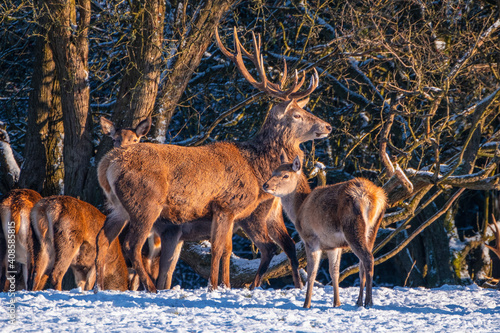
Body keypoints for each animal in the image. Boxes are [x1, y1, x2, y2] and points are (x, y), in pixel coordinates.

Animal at [96, 26, 334, 290]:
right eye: (297, 115)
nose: (328, 126)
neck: (254, 167)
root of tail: (107, 164)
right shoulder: (226, 205)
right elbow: (219, 249)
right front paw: (216, 286)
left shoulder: (230, 213)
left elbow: (226, 249)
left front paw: (224, 285)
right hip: (145, 202)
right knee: (132, 245)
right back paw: (150, 287)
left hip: (117, 206)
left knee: (103, 240)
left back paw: (98, 287)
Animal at [262, 154, 386, 308]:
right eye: (273, 172)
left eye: (285, 175)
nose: (265, 185)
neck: (298, 209)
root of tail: (374, 198)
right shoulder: (333, 245)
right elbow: (334, 271)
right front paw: (337, 303)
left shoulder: (310, 238)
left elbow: (312, 272)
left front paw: (306, 304)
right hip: (372, 229)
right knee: (362, 263)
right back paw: (358, 302)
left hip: (352, 228)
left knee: (368, 258)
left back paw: (368, 302)